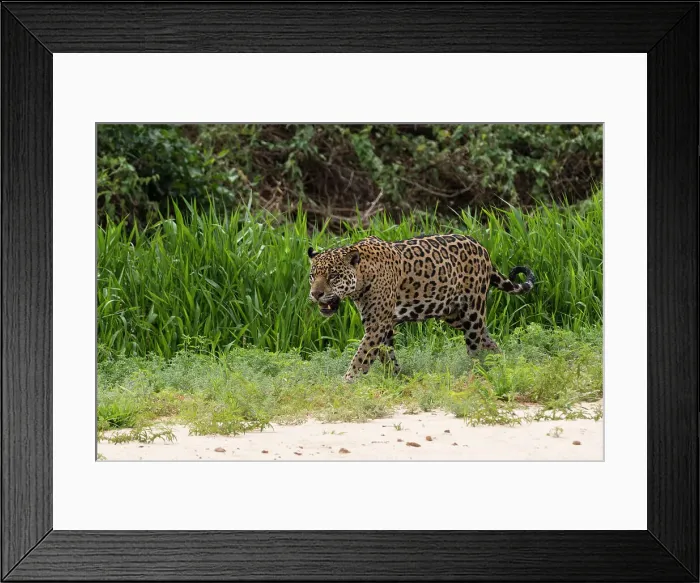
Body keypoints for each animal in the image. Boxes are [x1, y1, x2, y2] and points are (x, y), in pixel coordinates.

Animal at [308, 234, 535, 382]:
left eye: (333, 276)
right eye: (312, 276)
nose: (315, 294)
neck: (363, 276)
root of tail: (482, 248)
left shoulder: (377, 325)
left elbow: (361, 356)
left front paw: (346, 383)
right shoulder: (383, 326)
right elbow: (385, 355)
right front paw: (396, 379)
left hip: (472, 312)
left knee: (475, 348)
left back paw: (478, 374)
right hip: (455, 315)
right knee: (488, 339)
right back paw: (501, 365)